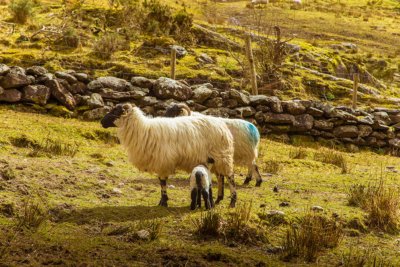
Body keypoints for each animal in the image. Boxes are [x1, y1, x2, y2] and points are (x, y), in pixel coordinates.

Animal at [101, 103, 238, 208]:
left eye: (116, 111)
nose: (101, 122)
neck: (143, 130)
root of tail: (222, 125)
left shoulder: (163, 162)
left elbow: (162, 182)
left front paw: (163, 202)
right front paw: (162, 202)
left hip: (223, 156)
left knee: (230, 177)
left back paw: (232, 201)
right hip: (215, 159)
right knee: (220, 176)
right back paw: (218, 199)